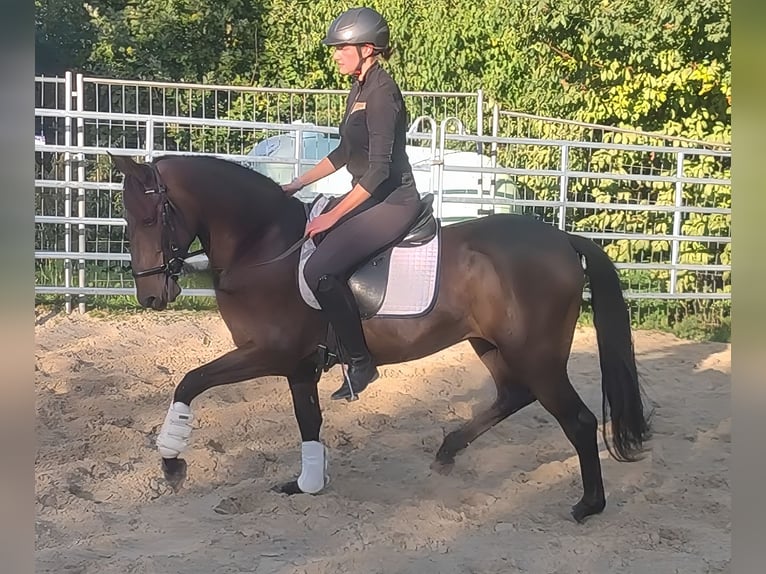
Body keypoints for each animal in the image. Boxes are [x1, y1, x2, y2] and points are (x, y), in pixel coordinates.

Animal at [109, 151, 651, 523]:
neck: (263, 247)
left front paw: (171, 464)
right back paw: (447, 452)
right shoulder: (298, 365)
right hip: (493, 345)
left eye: (150, 218)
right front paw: (306, 483)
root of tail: (563, 240)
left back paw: (588, 505)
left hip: (536, 354)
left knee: (577, 420)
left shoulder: (267, 353)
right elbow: (308, 420)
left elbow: (189, 382)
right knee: (513, 395)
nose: (150, 296)